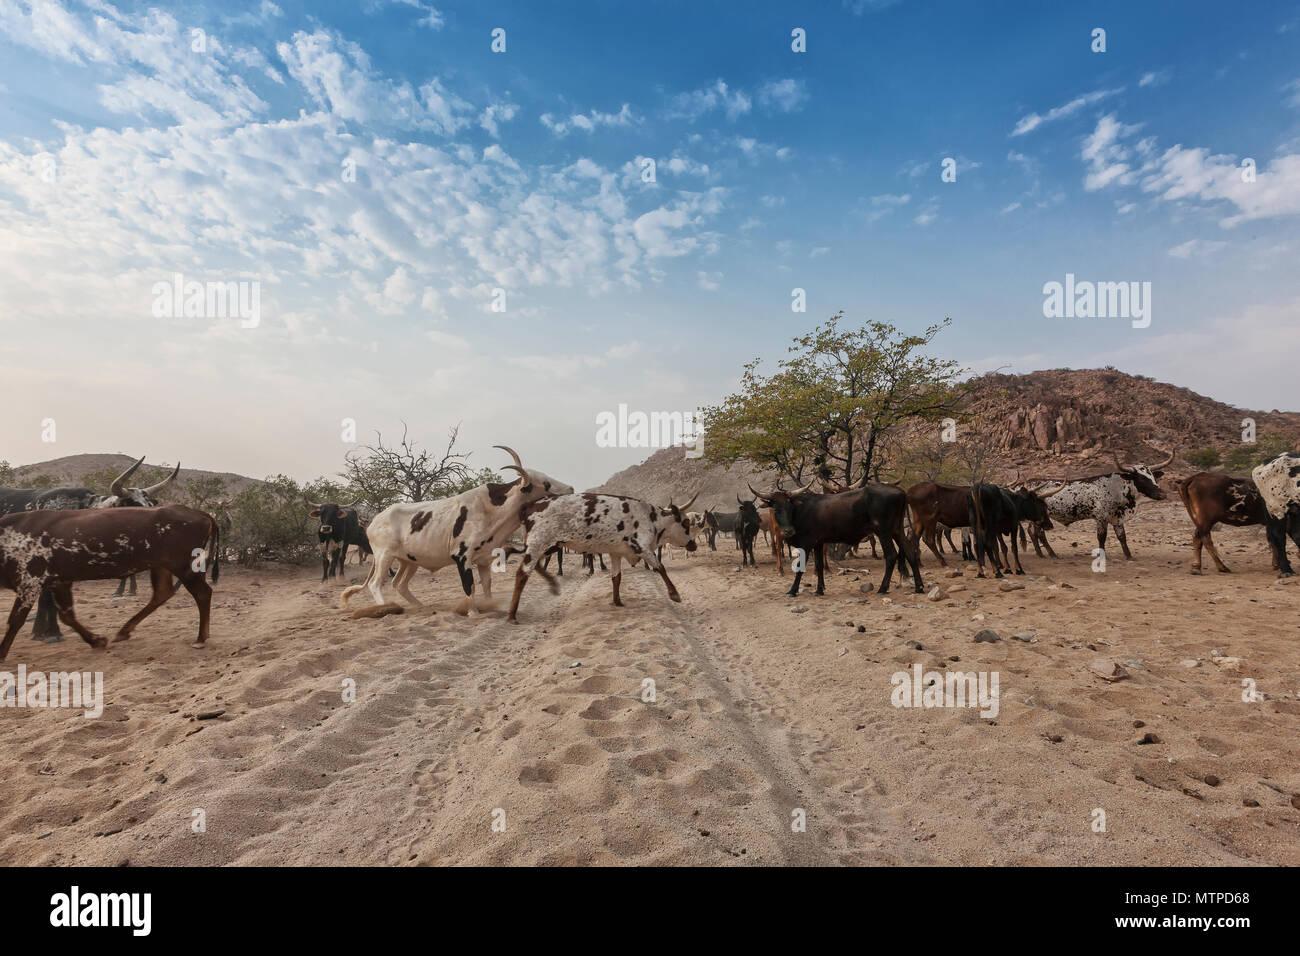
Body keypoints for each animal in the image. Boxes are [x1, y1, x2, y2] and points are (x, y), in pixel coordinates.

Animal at [0, 504, 219, 660]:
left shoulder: (30, 583)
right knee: (162, 593)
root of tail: (202, 514)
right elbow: (67, 616)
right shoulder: (59, 582)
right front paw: (96, 640)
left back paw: (200, 638)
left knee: (202, 593)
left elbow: (15, 620)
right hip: (161, 566)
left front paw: (2, 654)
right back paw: (124, 630)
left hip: (185, 567)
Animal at [340, 447, 574, 613]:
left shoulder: (484, 560)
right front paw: (473, 612)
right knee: (376, 584)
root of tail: (374, 521)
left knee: (400, 584)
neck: (493, 509)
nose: (571, 488)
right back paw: (385, 608)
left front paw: (489, 607)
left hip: (408, 561)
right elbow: (469, 586)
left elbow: (486, 586)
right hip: (384, 556)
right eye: (545, 483)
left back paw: (420, 607)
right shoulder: (462, 557)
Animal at [504, 489, 702, 624]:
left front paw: (617, 601)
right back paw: (512, 614)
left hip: (549, 546)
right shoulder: (642, 547)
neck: (652, 518)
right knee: (522, 574)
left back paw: (552, 584)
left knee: (536, 566)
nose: (694, 544)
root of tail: (530, 505)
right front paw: (674, 594)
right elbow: (660, 567)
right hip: (538, 545)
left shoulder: (617, 553)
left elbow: (617, 578)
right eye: (686, 522)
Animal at [754, 481, 925, 595]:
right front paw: (819, 590)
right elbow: (819, 566)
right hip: (897, 530)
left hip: (883, 532)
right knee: (910, 552)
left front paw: (792, 590)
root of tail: (901, 492)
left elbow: (801, 569)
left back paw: (883, 588)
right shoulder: (818, 543)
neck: (800, 511)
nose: (788, 531)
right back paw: (919, 587)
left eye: (789, 507)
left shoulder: (807, 543)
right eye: (776, 509)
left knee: (891, 556)